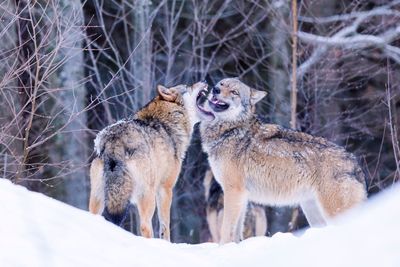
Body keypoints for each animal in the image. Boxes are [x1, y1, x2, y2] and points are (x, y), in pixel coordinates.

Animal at [89, 81, 208, 241]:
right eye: (187, 86)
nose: (204, 82)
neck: (168, 122)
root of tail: (115, 141)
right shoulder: (165, 188)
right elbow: (165, 226)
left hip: (99, 196)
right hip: (147, 195)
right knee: (145, 226)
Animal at [195, 78, 368, 245]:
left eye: (234, 92)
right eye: (222, 83)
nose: (215, 89)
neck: (230, 129)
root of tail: (355, 164)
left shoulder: (233, 191)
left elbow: (226, 230)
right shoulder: (242, 196)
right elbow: (236, 232)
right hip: (312, 211)